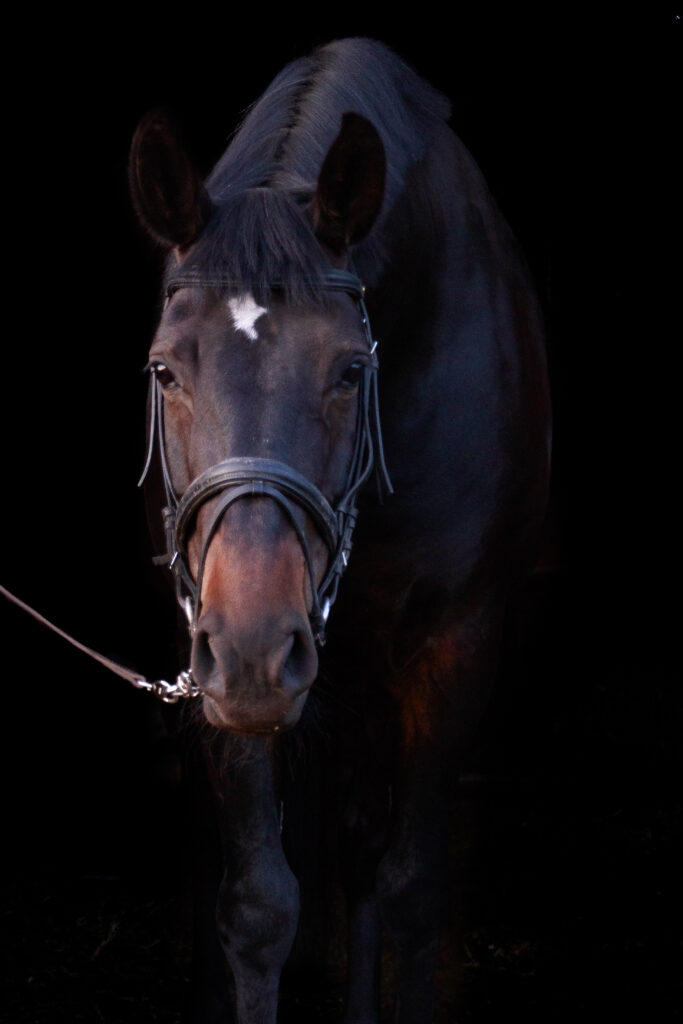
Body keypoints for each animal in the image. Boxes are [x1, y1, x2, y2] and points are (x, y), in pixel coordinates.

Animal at [128, 37, 551, 1024]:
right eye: (164, 370)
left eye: (351, 369)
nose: (254, 647)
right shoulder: (216, 650)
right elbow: (257, 905)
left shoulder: (455, 643)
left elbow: (409, 891)